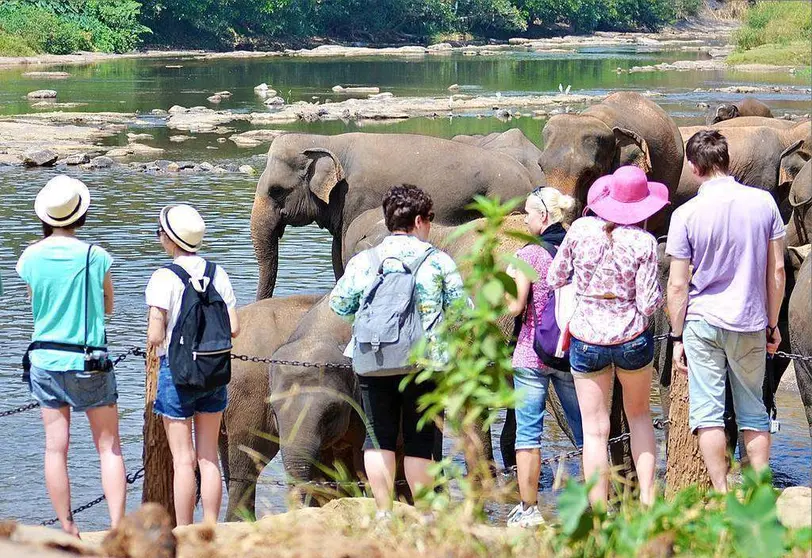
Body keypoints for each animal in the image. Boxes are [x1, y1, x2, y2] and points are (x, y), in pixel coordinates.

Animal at [251, 132, 536, 302]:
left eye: (276, 190)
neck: (327, 141)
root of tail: (530, 178)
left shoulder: (356, 197)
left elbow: (343, 251)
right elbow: (336, 253)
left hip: (505, 197)